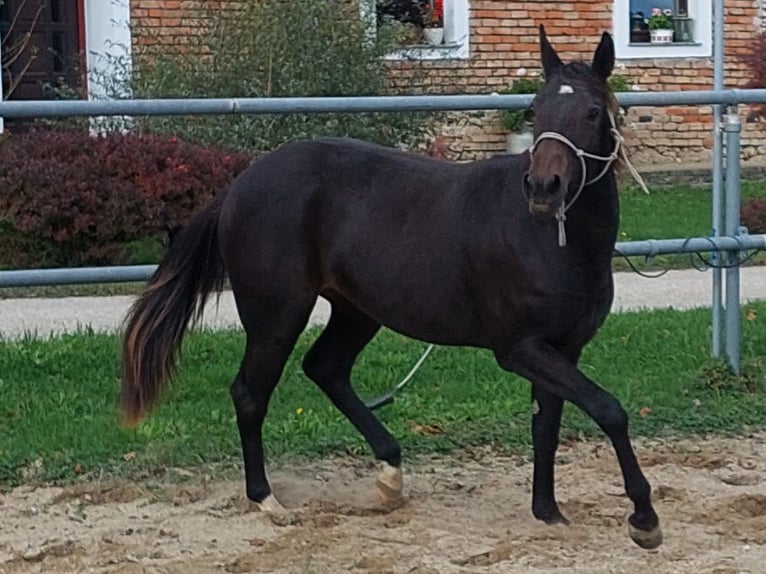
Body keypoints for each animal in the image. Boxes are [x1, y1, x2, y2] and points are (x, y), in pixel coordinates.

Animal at [123, 25, 664, 548]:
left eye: (592, 111)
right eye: (536, 109)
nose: (543, 187)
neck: (551, 239)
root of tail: (239, 185)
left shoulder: (563, 348)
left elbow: (547, 424)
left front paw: (548, 512)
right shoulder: (519, 347)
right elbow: (609, 410)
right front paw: (643, 518)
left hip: (356, 310)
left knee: (326, 368)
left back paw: (389, 473)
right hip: (276, 314)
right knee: (250, 393)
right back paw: (266, 499)